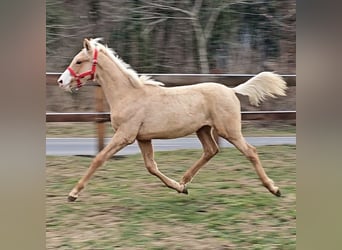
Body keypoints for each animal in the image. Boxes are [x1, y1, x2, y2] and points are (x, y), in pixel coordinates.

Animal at [58, 38, 286, 201]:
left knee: (251, 152)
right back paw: (184, 181)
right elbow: (151, 166)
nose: (61, 81)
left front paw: (73, 193)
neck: (129, 95)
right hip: (203, 129)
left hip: (228, 130)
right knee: (211, 150)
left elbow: (99, 158)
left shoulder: (125, 135)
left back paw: (274, 189)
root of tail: (231, 90)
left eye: (79, 61)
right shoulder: (143, 138)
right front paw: (178, 188)